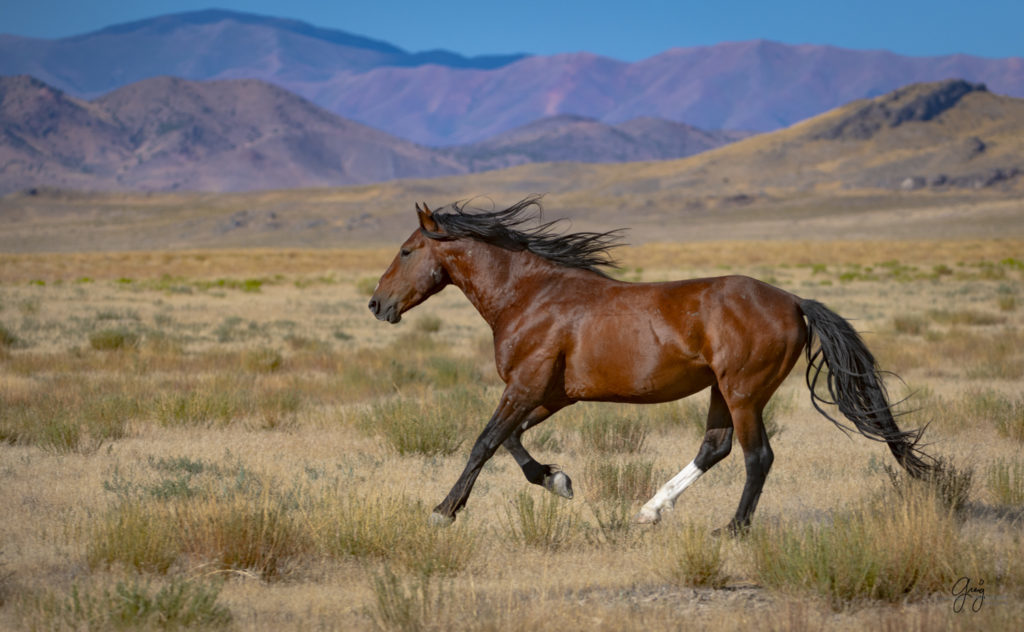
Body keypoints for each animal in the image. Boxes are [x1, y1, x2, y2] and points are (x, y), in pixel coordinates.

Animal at [370, 196, 937, 532]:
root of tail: (795, 301)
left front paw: (443, 512)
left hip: (744, 392)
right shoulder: (549, 395)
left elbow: (484, 442)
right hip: (720, 391)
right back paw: (650, 509)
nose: (377, 305)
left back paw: (732, 529)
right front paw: (558, 480)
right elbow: (511, 441)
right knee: (715, 447)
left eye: (406, 251)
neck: (529, 296)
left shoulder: (526, 386)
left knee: (758, 456)